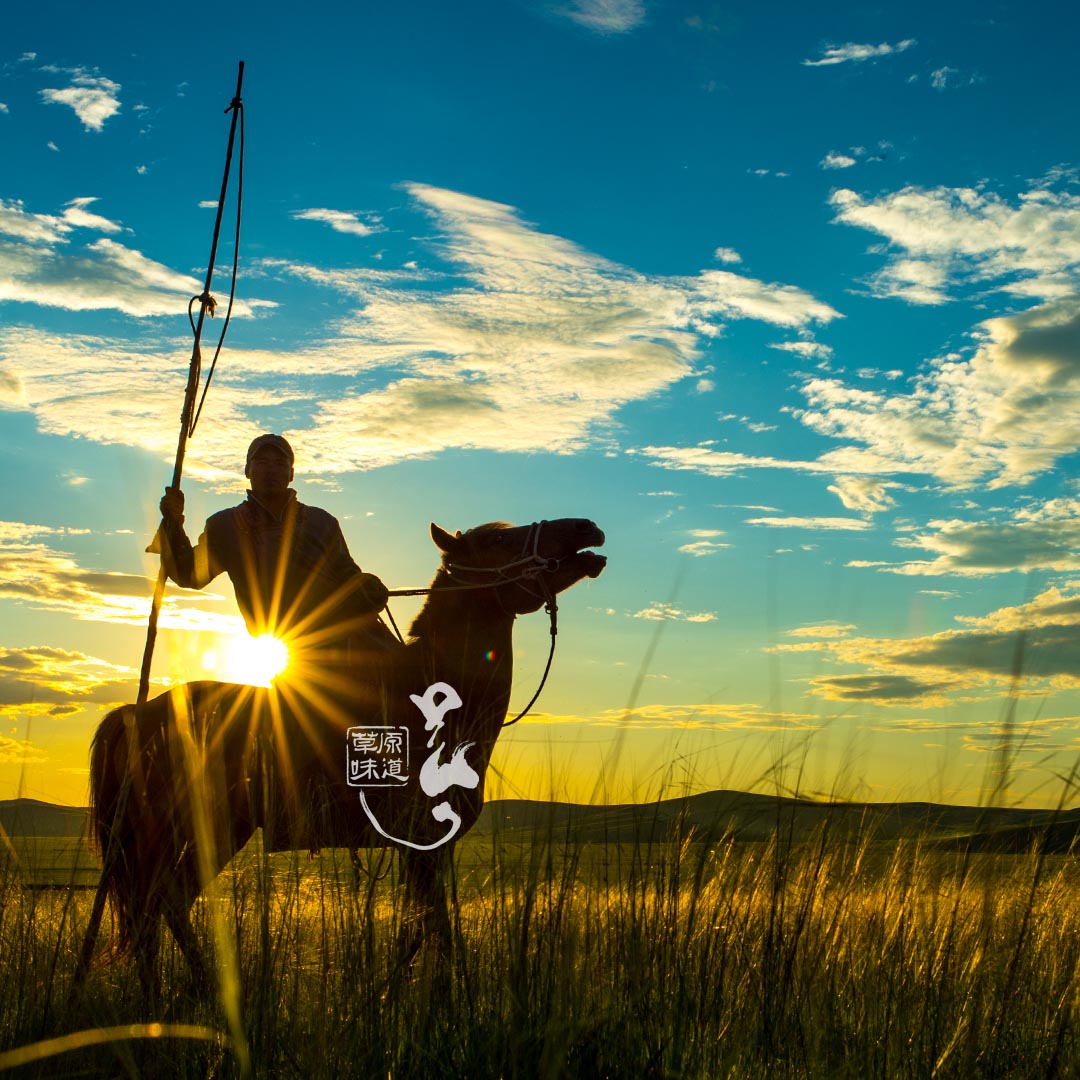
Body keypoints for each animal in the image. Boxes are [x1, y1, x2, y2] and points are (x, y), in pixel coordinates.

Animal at [84, 520, 609, 989]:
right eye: (499, 540)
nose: (587, 529)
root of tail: (135, 714)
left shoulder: (427, 850)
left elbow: (423, 927)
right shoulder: (422, 843)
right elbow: (430, 925)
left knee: (159, 905)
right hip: (194, 829)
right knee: (162, 902)